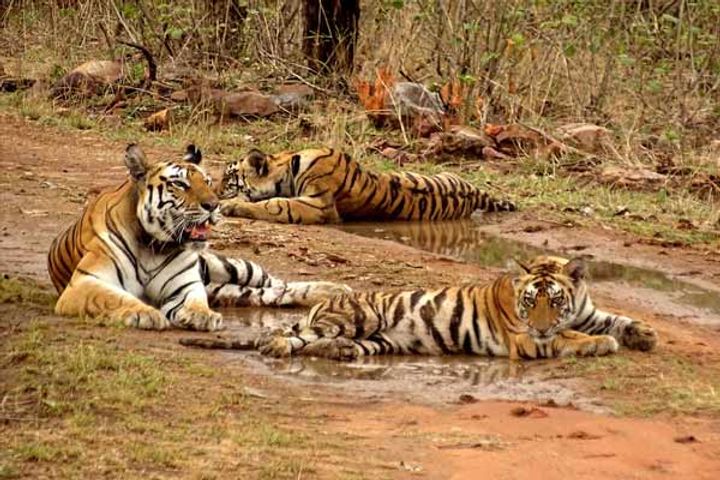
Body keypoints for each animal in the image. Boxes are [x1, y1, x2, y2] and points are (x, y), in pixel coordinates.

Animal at [48, 143, 350, 331]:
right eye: (180, 184)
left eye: (206, 181)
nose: (214, 205)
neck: (153, 245)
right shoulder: (85, 282)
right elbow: (115, 298)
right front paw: (145, 313)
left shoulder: (186, 285)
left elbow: (194, 300)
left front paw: (200, 316)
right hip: (228, 289)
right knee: (269, 294)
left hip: (229, 266)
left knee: (278, 283)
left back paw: (336, 290)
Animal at [218, 147, 515, 224]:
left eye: (228, 178)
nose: (216, 192)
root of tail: (473, 191)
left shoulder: (320, 204)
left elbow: (275, 204)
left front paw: (230, 205)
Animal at [256, 255, 658, 360]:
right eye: (530, 302)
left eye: (556, 300)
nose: (542, 326)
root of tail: (323, 302)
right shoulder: (524, 339)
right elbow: (567, 337)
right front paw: (600, 344)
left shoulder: (587, 313)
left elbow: (615, 319)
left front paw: (644, 334)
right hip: (360, 316)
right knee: (292, 338)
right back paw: (276, 346)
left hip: (379, 340)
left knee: (320, 345)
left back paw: (338, 352)